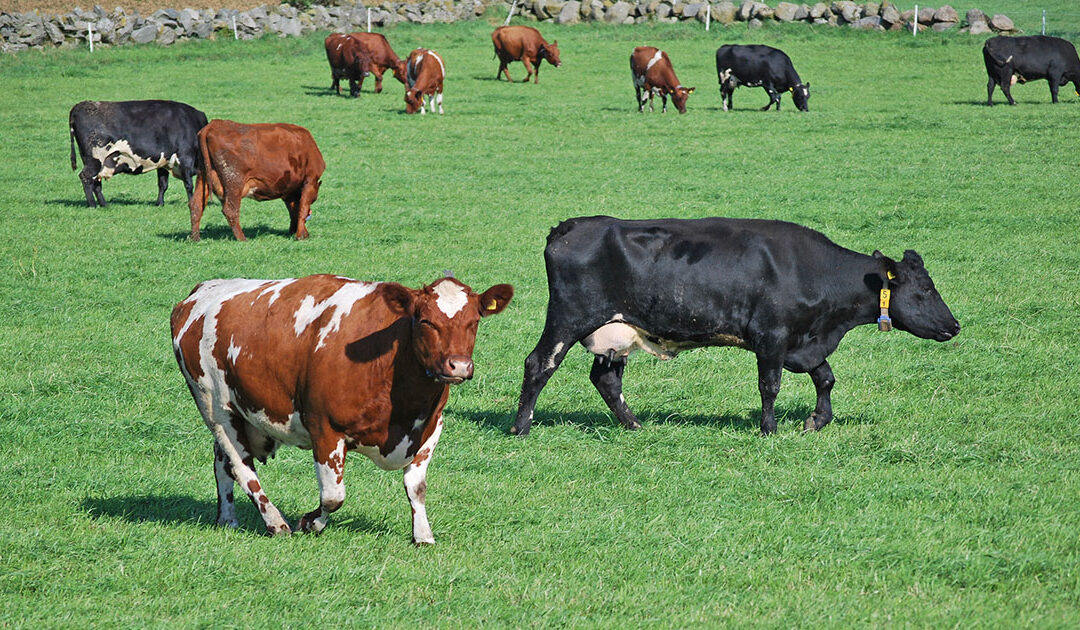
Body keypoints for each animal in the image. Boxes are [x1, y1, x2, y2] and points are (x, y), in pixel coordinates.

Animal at [70, 98, 210, 207]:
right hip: (94, 159)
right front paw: (191, 202)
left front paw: (160, 203)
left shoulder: (163, 161)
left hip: (96, 161)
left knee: (96, 182)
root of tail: (80, 105)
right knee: (86, 177)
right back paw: (93, 205)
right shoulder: (185, 157)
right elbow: (189, 184)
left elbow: (163, 184)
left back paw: (104, 204)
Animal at [171, 271, 514, 542]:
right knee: (241, 466)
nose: (458, 366)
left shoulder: (431, 427)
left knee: (223, 463)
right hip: (216, 407)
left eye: (473, 322)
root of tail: (202, 291)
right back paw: (275, 522)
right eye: (426, 321)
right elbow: (334, 496)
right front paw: (311, 522)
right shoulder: (325, 429)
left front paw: (423, 535)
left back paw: (227, 519)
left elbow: (417, 487)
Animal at [189, 119, 324, 243]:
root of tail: (215, 124)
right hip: (234, 180)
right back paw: (242, 239)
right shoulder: (310, 180)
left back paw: (195, 238)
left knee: (196, 205)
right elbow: (302, 208)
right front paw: (300, 235)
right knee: (230, 210)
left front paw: (295, 232)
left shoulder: (289, 191)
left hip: (203, 176)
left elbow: (294, 210)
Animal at [514, 213, 963, 436]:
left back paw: (635, 425)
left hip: (614, 330)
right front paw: (769, 429)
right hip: (568, 317)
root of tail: (571, 225)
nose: (955, 325)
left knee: (606, 380)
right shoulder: (772, 337)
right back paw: (521, 428)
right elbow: (770, 385)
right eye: (925, 289)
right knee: (539, 364)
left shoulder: (804, 341)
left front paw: (817, 420)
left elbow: (826, 378)